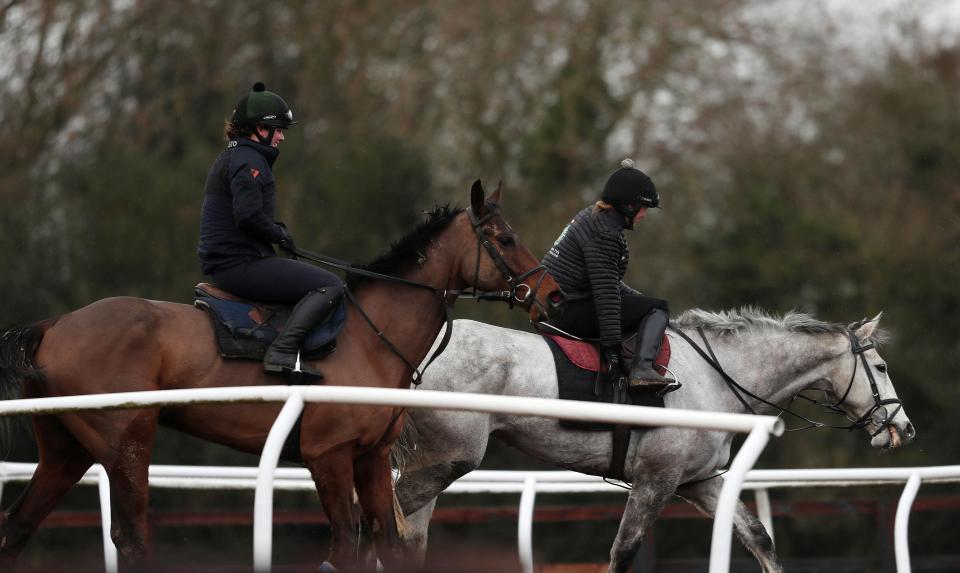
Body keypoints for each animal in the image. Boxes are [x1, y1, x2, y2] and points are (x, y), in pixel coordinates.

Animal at [0, 181, 564, 568]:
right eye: (505, 238)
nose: (553, 295)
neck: (370, 336)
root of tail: (53, 325)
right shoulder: (327, 455)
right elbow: (346, 543)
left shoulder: (371, 458)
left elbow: (386, 542)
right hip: (127, 443)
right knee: (131, 537)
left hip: (67, 449)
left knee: (19, 526)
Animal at [396, 308, 916, 572]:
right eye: (882, 367)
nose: (904, 428)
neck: (716, 377)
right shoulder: (656, 481)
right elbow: (624, 551)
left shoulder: (697, 481)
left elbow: (758, 537)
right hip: (449, 457)